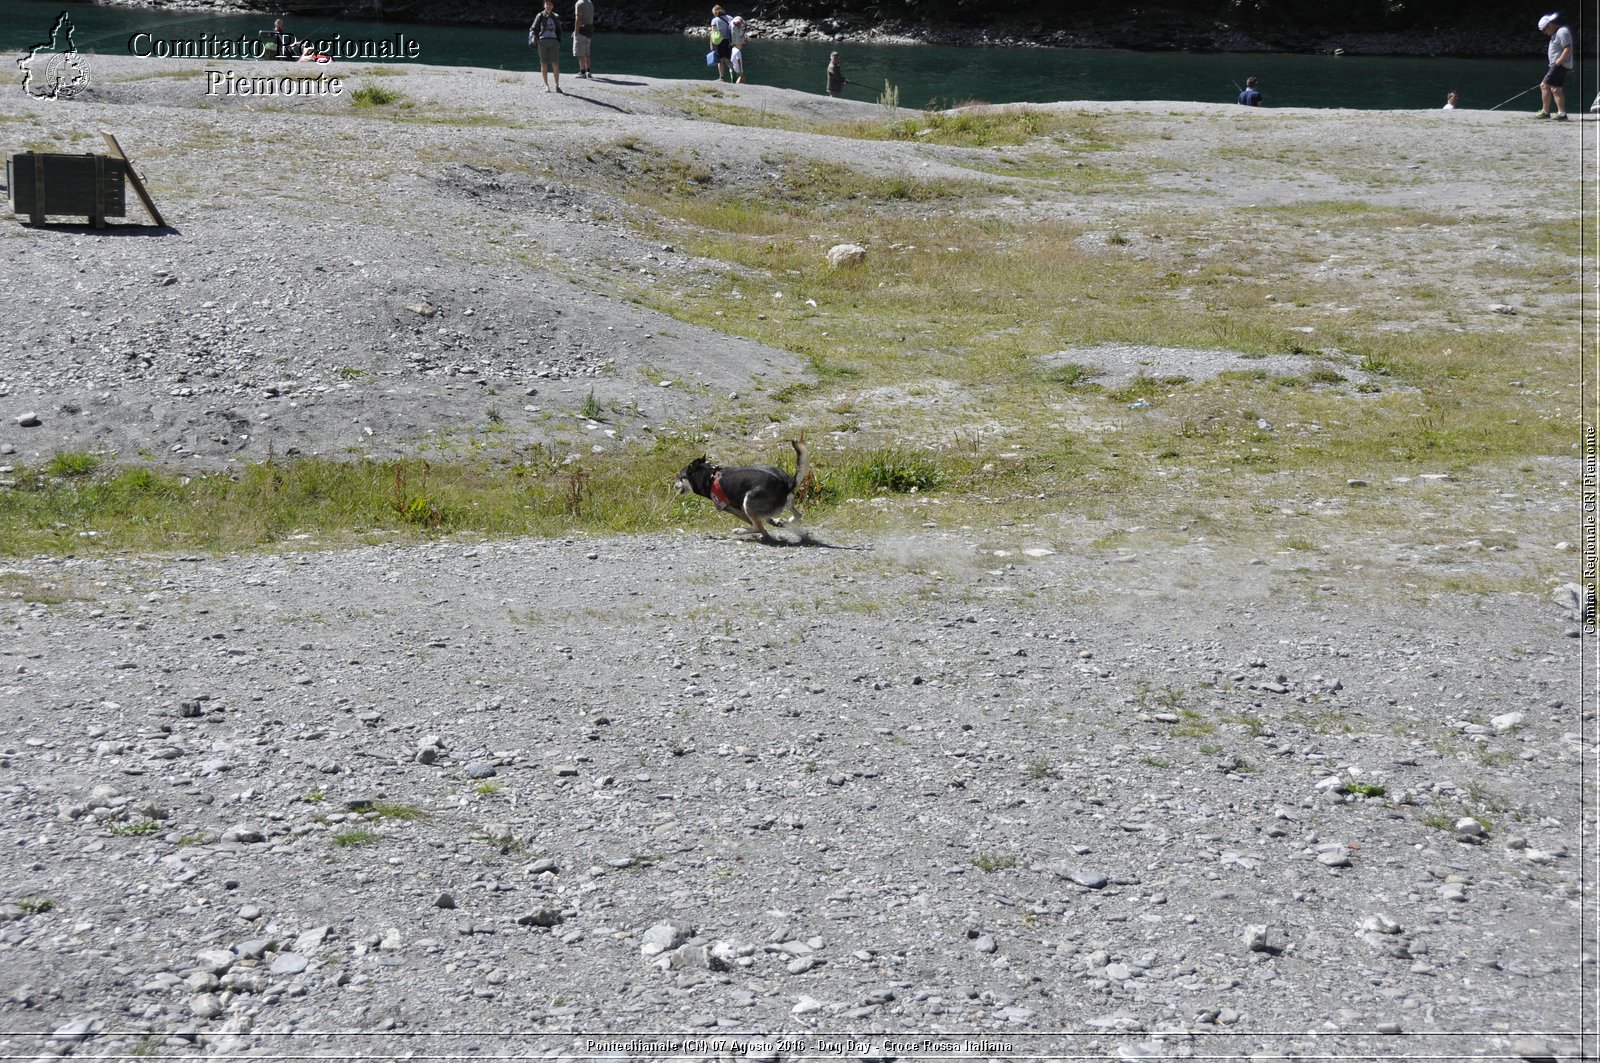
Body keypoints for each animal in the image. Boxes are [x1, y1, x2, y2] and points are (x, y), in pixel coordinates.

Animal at [672, 438, 806, 541]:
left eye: (679, 477)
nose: (673, 485)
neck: (709, 476)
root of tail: (786, 483)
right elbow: (767, 522)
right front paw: (774, 525)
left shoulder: (734, 509)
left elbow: (760, 526)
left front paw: (766, 533)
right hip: (787, 504)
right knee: (798, 515)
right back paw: (786, 521)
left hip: (748, 504)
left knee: (757, 527)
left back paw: (739, 531)